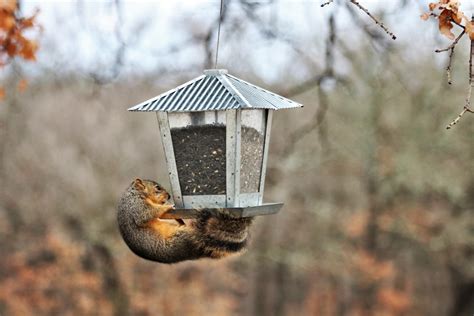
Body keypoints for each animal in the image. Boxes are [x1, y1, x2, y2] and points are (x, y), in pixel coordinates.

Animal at [117, 178, 254, 264]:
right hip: (182, 237)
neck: (135, 194)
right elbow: (146, 215)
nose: (169, 196)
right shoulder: (136, 206)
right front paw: (169, 206)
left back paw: (180, 220)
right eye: (157, 188)